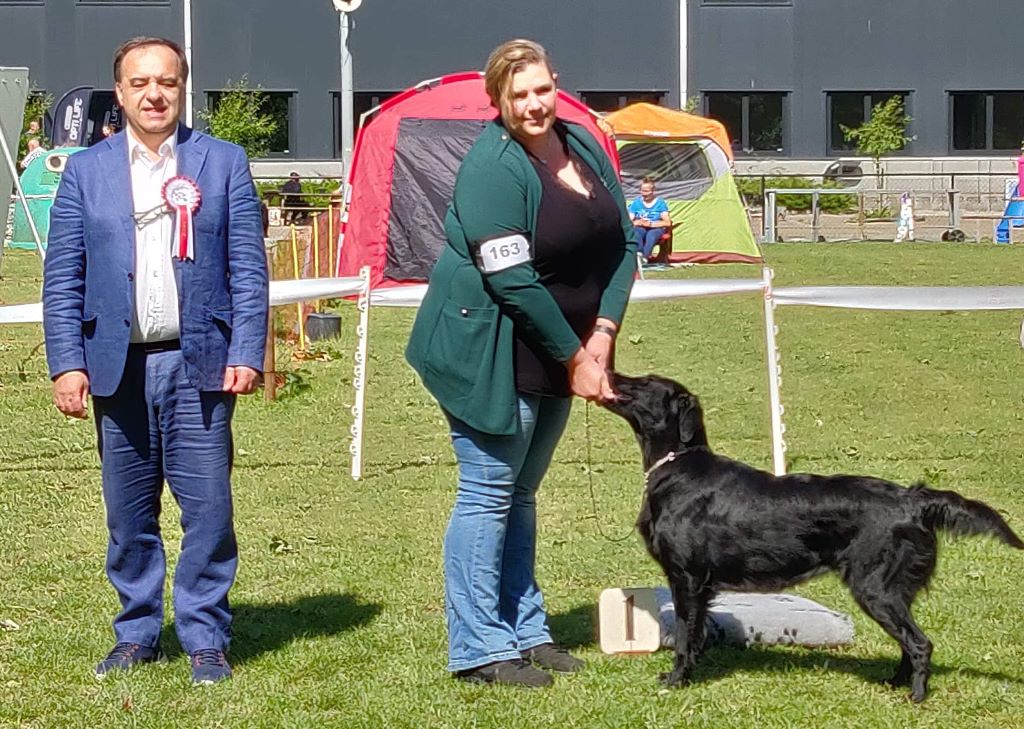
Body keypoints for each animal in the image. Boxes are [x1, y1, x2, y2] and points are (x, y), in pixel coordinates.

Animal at [602, 372, 1019, 704]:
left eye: (644, 382)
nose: (612, 371)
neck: (678, 467)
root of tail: (913, 498)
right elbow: (697, 633)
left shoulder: (686, 577)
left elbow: (686, 635)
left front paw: (676, 679)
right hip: (890, 592)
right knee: (907, 640)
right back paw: (893, 683)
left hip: (876, 587)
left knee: (919, 642)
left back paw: (915, 696)